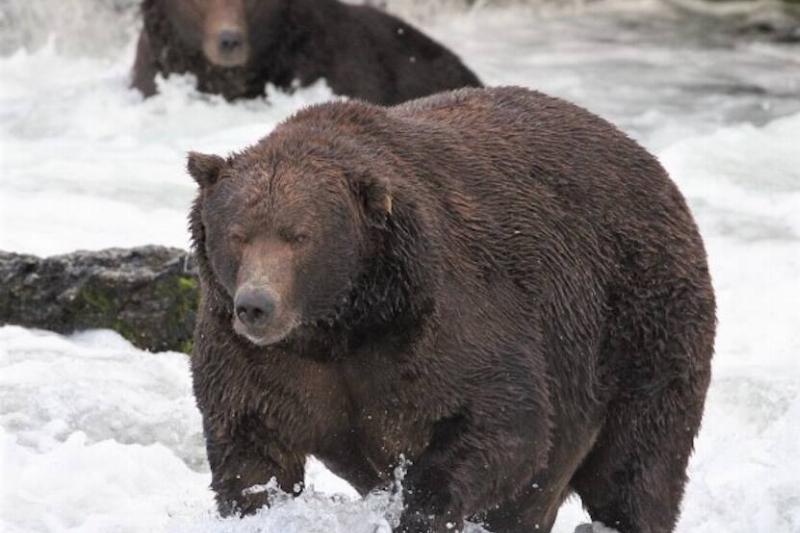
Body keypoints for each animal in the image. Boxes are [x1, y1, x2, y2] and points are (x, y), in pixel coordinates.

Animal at [186, 86, 716, 533]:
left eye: (299, 236)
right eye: (238, 233)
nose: (256, 305)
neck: (341, 322)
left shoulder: (439, 321)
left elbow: (505, 422)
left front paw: (421, 507)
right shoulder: (259, 360)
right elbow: (252, 446)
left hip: (642, 322)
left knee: (637, 463)